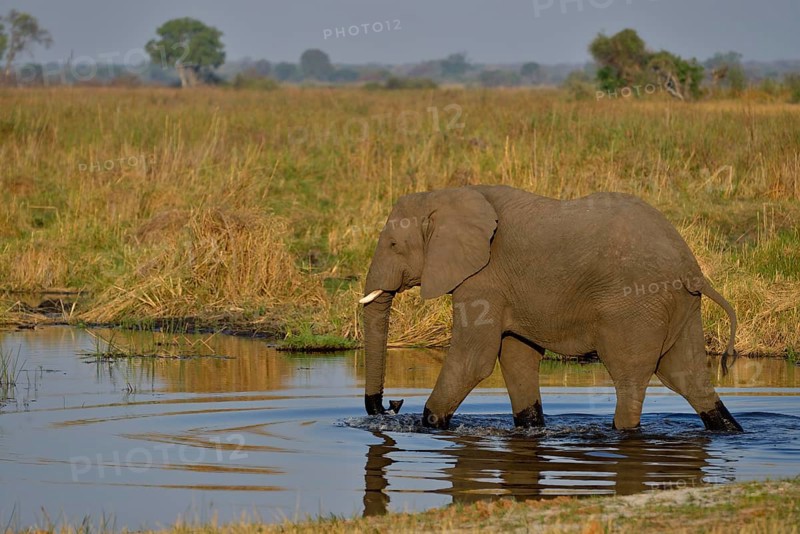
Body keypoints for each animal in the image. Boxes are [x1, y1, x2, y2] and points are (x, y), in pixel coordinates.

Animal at [359, 185, 742, 432]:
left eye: (393, 245)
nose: (391, 406)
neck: (446, 195)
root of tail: (691, 269)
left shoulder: (483, 277)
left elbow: (474, 360)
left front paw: (429, 424)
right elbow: (517, 356)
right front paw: (531, 426)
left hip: (634, 306)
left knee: (630, 377)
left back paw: (621, 432)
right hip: (680, 306)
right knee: (687, 376)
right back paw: (729, 430)